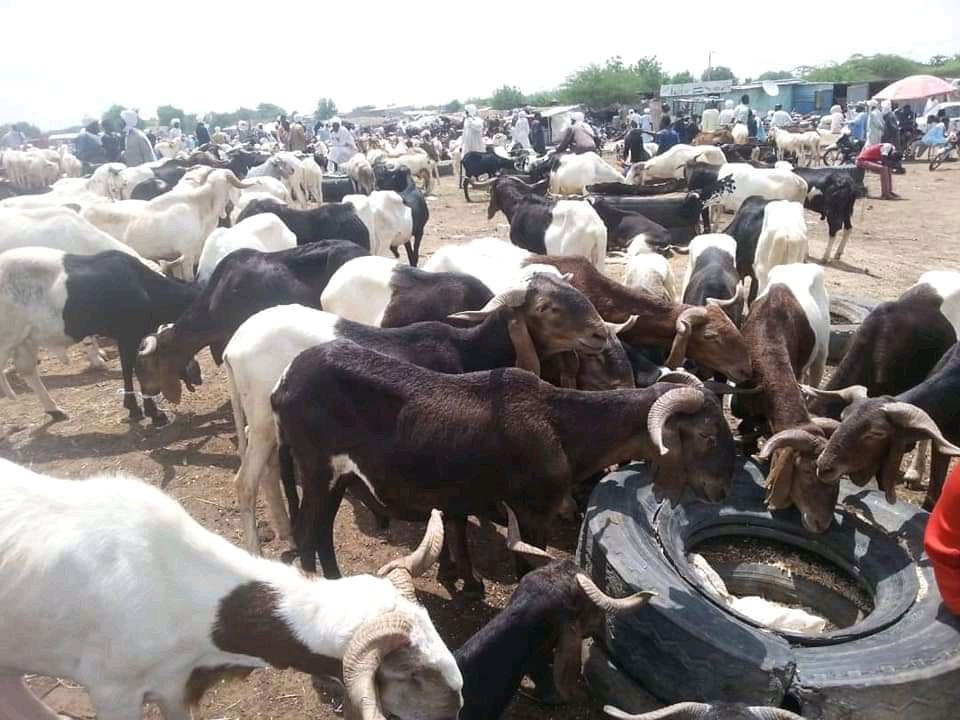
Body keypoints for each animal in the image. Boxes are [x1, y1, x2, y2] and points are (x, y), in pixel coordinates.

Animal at [270, 340, 736, 600]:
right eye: (708, 436)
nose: (722, 490)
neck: (561, 425)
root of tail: (283, 385)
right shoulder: (533, 512)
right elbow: (528, 569)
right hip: (317, 470)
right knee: (308, 533)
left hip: (337, 477)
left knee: (321, 532)